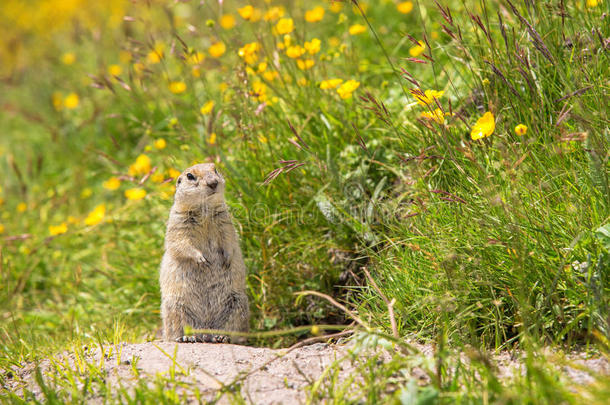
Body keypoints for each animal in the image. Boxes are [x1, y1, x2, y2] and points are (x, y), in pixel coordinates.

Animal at [160, 163, 251, 342]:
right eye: (190, 176)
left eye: (215, 169)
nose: (213, 182)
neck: (205, 210)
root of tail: (206, 332)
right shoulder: (178, 222)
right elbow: (180, 243)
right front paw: (201, 259)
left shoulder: (225, 220)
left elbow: (229, 239)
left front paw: (227, 259)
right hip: (174, 307)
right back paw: (187, 338)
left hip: (237, 304)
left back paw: (222, 337)